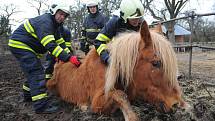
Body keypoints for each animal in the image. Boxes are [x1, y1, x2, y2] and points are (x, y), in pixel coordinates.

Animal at [46, 21, 188, 121]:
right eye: (156, 63)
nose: (176, 104)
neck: (112, 68)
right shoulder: (97, 102)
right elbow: (120, 95)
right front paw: (131, 117)